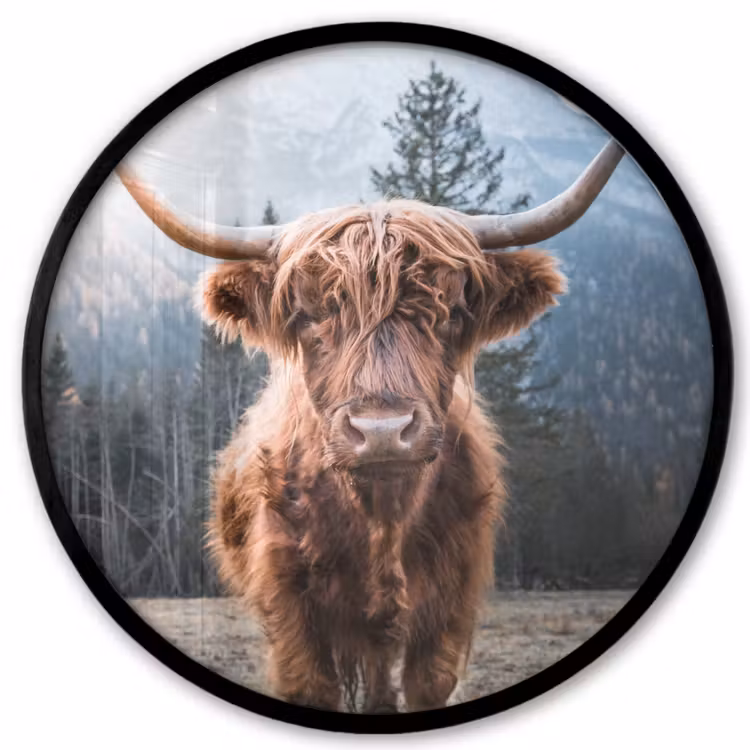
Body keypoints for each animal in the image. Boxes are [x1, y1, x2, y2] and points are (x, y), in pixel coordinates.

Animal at [117, 139, 623, 713]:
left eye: (451, 311)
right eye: (308, 314)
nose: (382, 430)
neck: (382, 518)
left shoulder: (450, 603)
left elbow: (427, 683)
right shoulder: (290, 606)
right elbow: (313, 684)